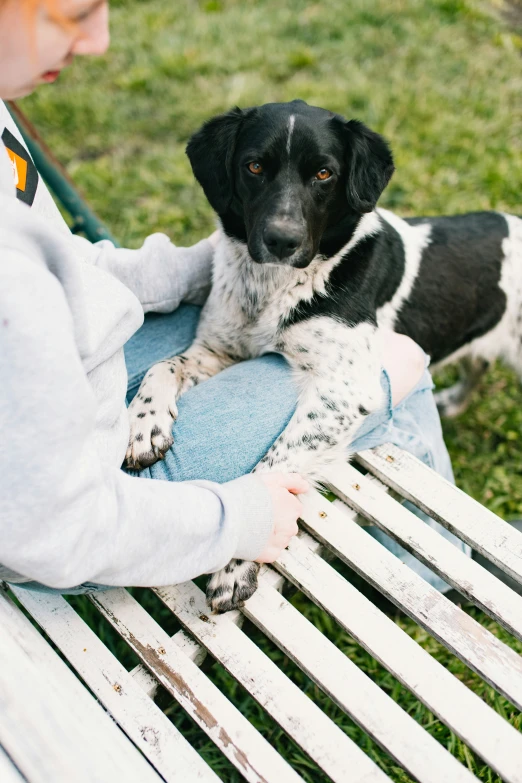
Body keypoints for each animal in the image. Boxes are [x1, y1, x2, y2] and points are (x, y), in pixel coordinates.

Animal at [125, 99, 520, 612]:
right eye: (254, 166)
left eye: (324, 173)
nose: (281, 241)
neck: (274, 288)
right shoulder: (217, 350)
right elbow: (162, 365)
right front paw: (143, 426)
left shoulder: (343, 389)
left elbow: (276, 463)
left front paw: (238, 563)